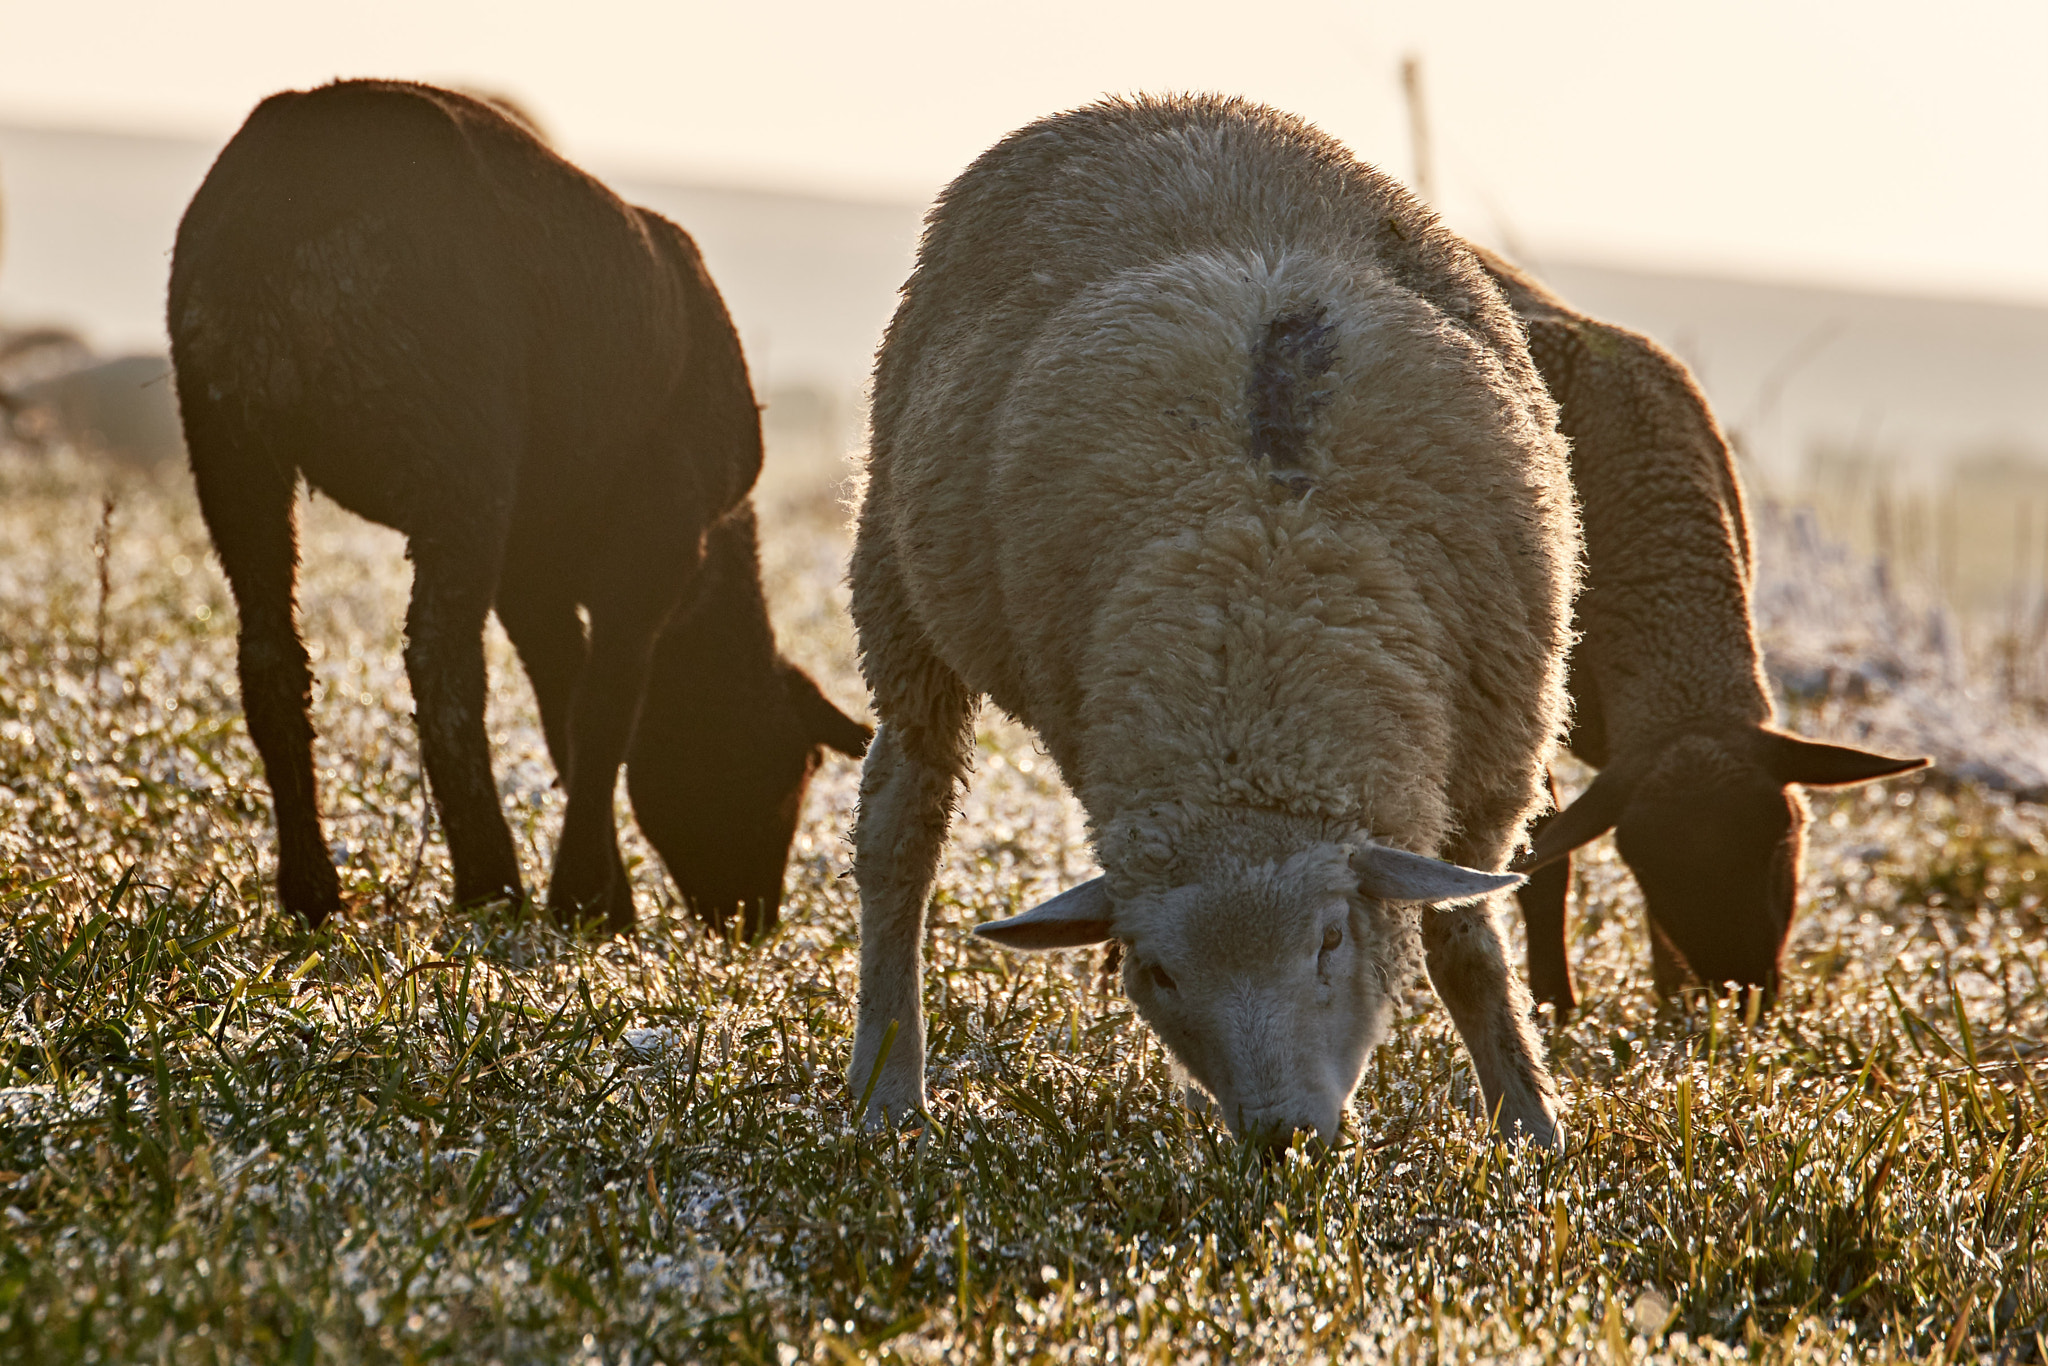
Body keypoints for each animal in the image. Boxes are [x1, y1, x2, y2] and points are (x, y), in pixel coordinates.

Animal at [163, 82, 860, 942]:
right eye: (800, 763)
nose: (752, 922)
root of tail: (288, 208)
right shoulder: (656, 540)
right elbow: (604, 708)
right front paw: (589, 902)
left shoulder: (534, 566)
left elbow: (565, 700)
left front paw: (601, 896)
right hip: (458, 442)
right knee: (443, 662)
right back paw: (490, 883)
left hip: (228, 434)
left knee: (269, 655)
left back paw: (313, 892)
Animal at [847, 93, 1581, 1155]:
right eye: (1155, 971)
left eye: (1330, 939)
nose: (1284, 1138)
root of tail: (1159, 103)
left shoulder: (1495, 764)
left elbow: (1465, 938)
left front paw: (1531, 1129)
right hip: (896, 583)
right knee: (902, 824)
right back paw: (887, 1090)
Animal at [1482, 250, 1925, 1015]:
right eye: (1638, 860)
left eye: (1785, 834)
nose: (1739, 995)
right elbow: (1542, 862)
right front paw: (1554, 1011)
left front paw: (1669, 1008)